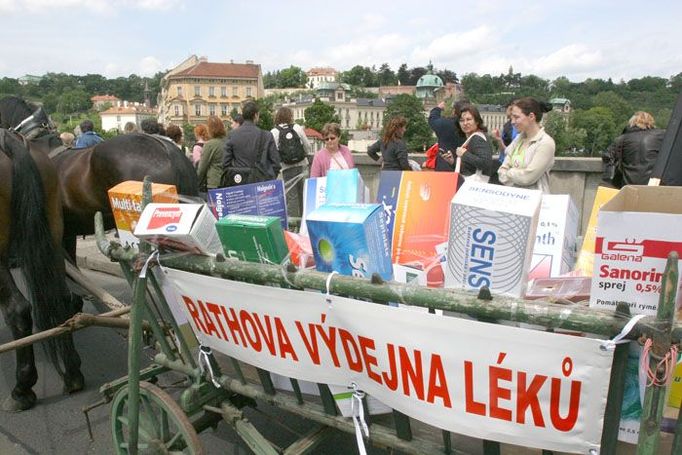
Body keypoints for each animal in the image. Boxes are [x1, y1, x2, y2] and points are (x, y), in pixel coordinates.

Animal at [0, 128, 84, 414]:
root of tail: (9, 140)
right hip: (53, 238)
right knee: (63, 300)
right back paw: (72, 374)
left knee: (17, 310)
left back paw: (21, 389)